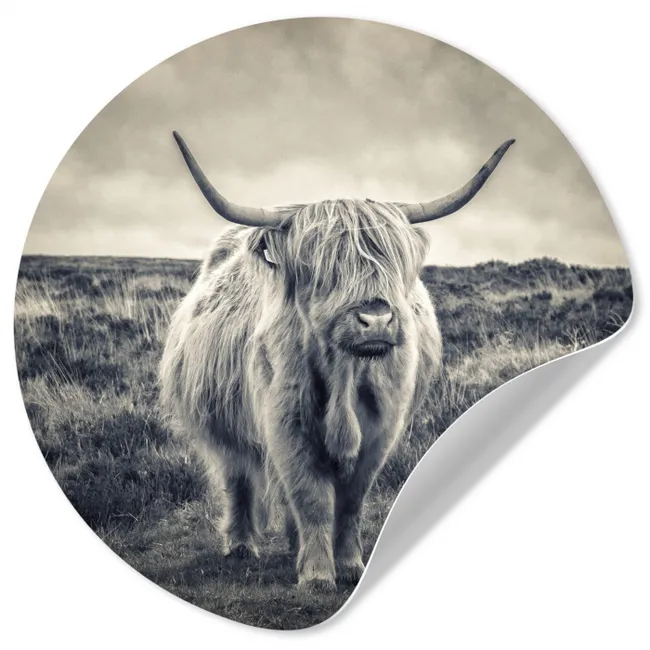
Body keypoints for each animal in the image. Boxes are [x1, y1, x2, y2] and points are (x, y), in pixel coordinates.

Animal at [160, 132, 514, 591]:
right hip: (222, 422)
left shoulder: (381, 429)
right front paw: (316, 574)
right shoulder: (286, 423)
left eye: (392, 262)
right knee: (238, 476)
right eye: (322, 268)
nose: (376, 319)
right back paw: (241, 545)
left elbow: (350, 501)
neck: (345, 374)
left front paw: (348, 564)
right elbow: (310, 496)